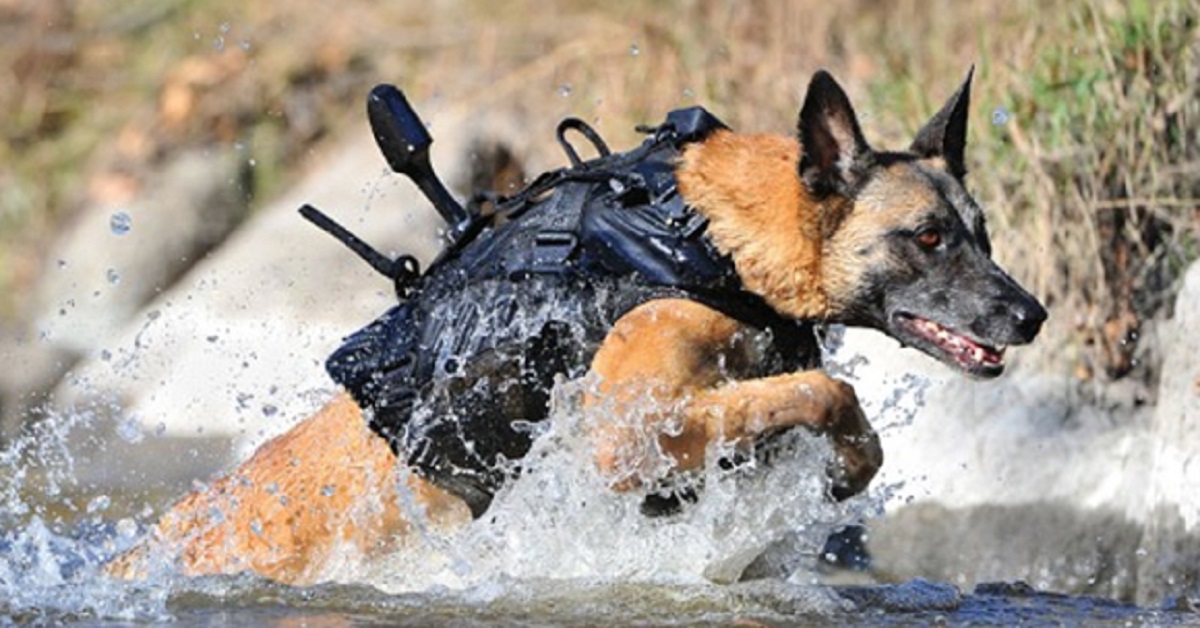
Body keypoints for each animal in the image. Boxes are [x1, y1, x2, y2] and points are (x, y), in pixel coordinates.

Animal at [108, 68, 1046, 585]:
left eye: (984, 234)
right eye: (928, 237)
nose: (1032, 315)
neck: (706, 236)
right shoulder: (626, 433)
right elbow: (828, 387)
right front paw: (849, 465)